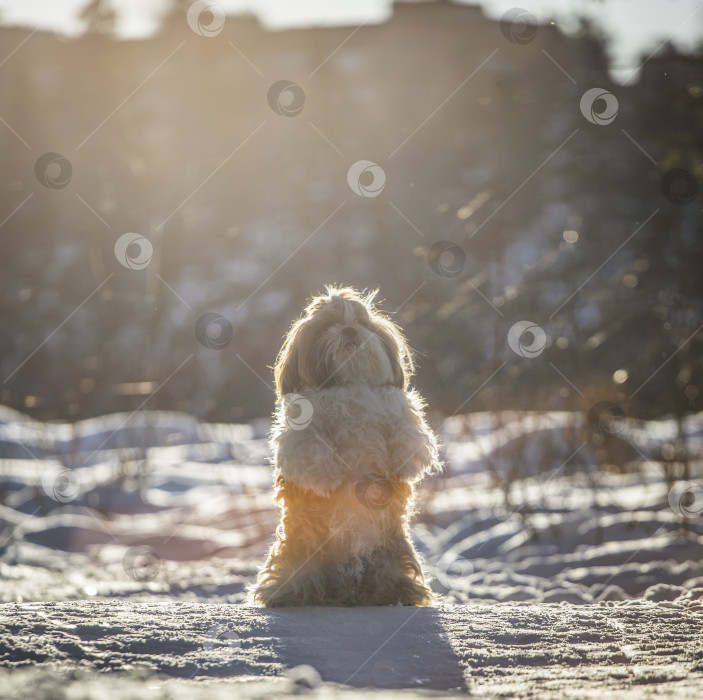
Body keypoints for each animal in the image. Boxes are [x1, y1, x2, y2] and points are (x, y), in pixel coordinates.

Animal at [250, 286, 442, 608]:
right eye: (328, 324)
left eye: (362, 322)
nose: (349, 329)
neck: (347, 383)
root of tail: (347, 589)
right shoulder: (302, 429)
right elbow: (310, 447)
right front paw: (328, 478)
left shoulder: (396, 408)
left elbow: (407, 431)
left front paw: (405, 460)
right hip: (297, 553)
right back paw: (288, 595)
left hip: (393, 552)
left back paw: (399, 594)